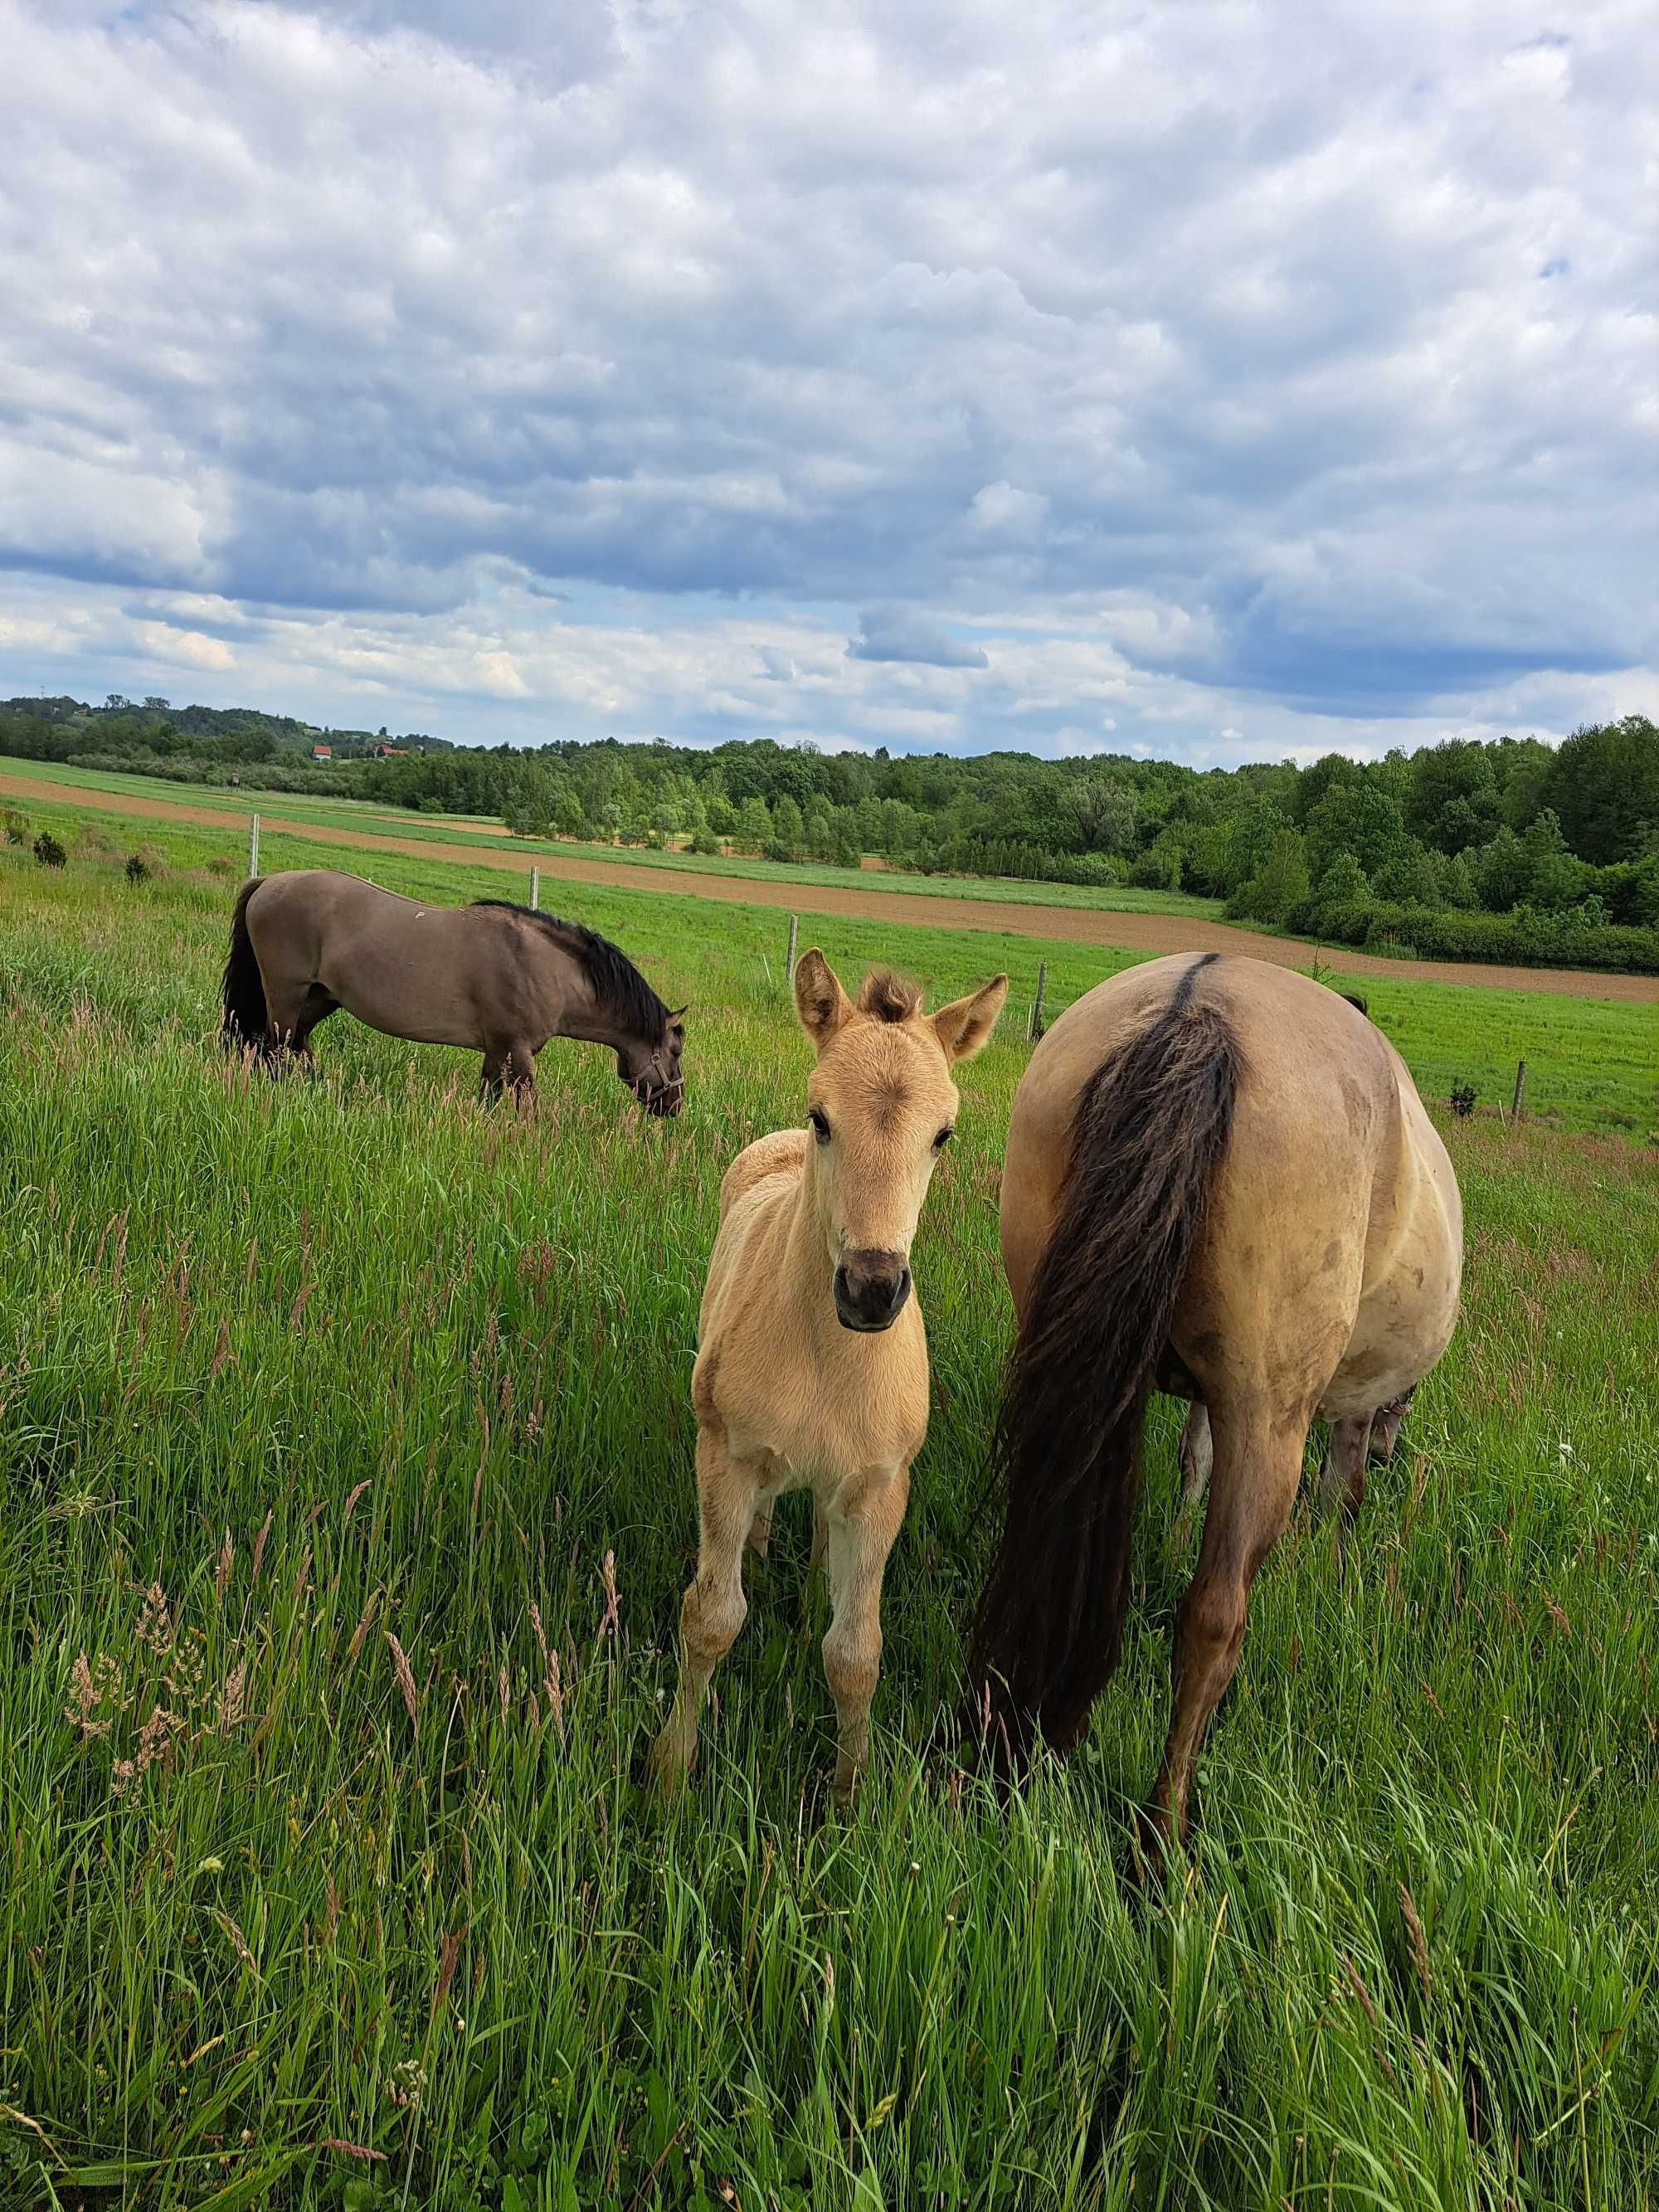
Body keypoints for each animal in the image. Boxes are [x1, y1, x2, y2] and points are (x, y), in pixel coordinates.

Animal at [222, 863, 690, 1106]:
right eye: (676, 1051)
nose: (675, 1105)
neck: (543, 968)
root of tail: (268, 882)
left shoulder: (497, 1054)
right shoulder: (516, 1054)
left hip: (320, 998)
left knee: (295, 1047)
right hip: (286, 995)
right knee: (275, 1049)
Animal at [654, 946, 1009, 1796]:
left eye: (944, 1134)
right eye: (822, 1117)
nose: (871, 1288)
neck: (826, 1358)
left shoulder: (881, 1488)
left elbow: (855, 1653)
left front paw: (850, 1792)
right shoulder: (725, 1455)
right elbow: (710, 1618)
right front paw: (671, 1771)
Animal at [969, 960, 1460, 1840]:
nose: (1391, 1449)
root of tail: (1199, 1007)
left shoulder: (1203, 1397)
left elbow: (1193, 1453)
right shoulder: (1332, 1414)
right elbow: (1338, 1495)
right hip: (1268, 1422)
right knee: (1214, 1624)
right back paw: (1163, 1831)